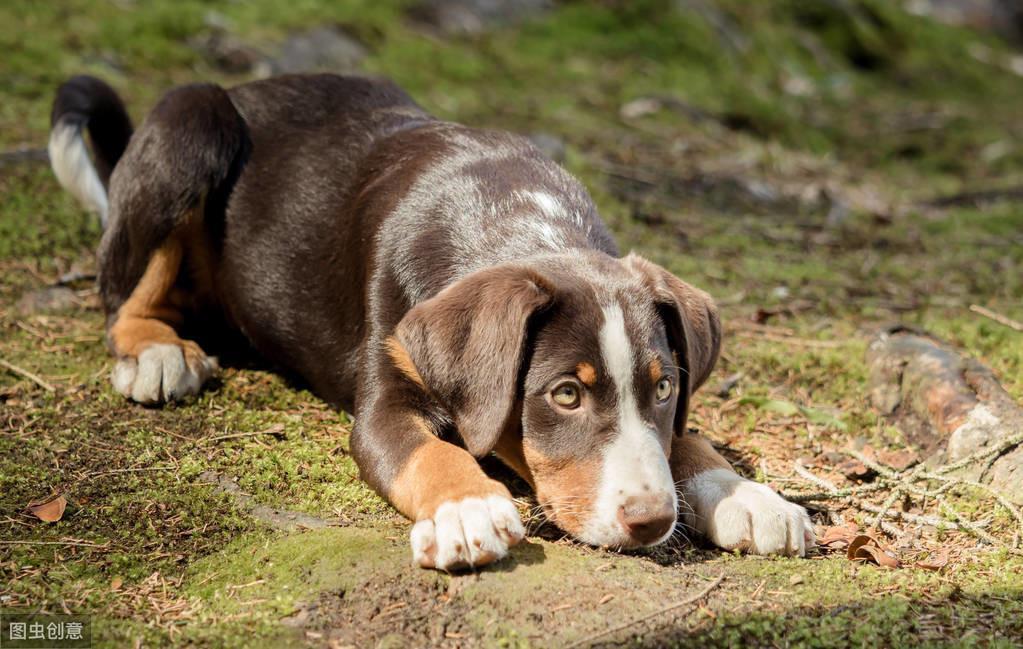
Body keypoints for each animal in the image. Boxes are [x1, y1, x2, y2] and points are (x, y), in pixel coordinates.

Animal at [49, 73, 814, 565]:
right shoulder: (386, 400)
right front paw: (466, 509)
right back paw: (155, 351)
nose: (652, 520)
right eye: (565, 394)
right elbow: (434, 453)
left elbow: (685, 437)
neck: (519, 221)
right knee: (120, 289)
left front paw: (746, 494)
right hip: (192, 127)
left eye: (664, 387)